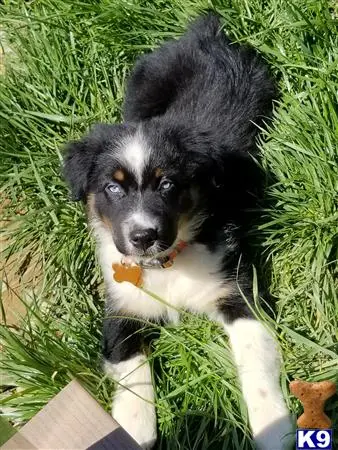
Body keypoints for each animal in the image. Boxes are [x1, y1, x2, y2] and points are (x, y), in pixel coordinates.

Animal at [64, 12, 292, 448]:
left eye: (167, 184)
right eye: (113, 188)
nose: (143, 237)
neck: (165, 265)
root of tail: (201, 34)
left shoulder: (236, 289)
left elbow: (255, 367)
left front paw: (276, 429)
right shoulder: (122, 308)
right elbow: (133, 377)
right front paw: (133, 429)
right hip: (139, 90)